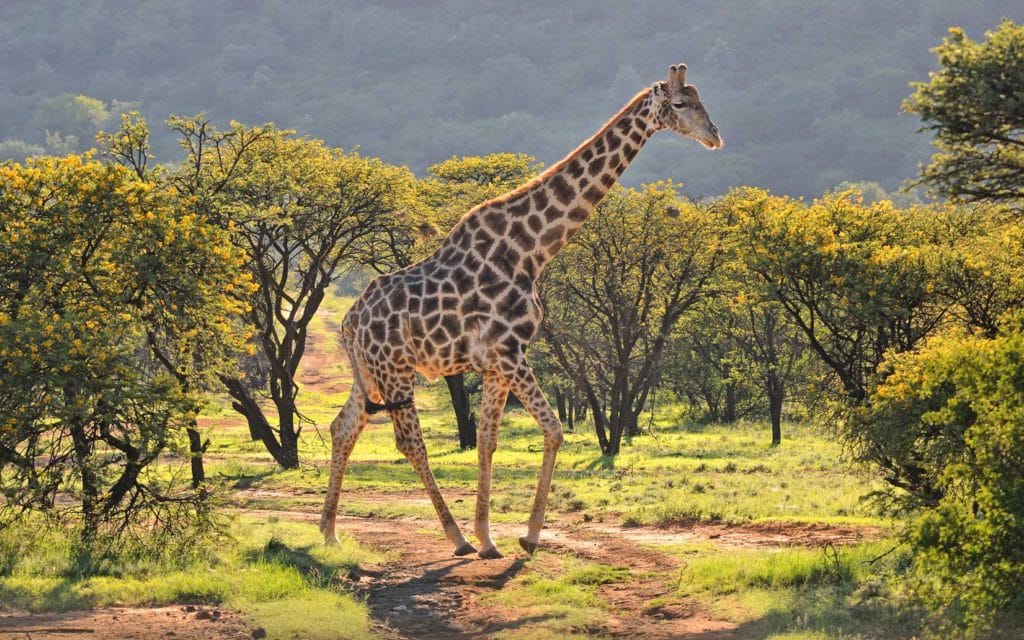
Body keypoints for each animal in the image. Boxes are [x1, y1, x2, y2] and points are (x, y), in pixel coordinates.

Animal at [320, 63, 722, 558]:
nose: (714, 136)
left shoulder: (495, 362)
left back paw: (330, 531)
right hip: (395, 370)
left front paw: (489, 537)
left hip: (371, 373)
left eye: (702, 100)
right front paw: (526, 536)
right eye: (681, 103)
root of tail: (348, 322)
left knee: (343, 427)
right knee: (409, 442)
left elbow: (487, 441)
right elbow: (553, 430)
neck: (532, 250)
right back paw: (453, 537)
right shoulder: (510, 351)